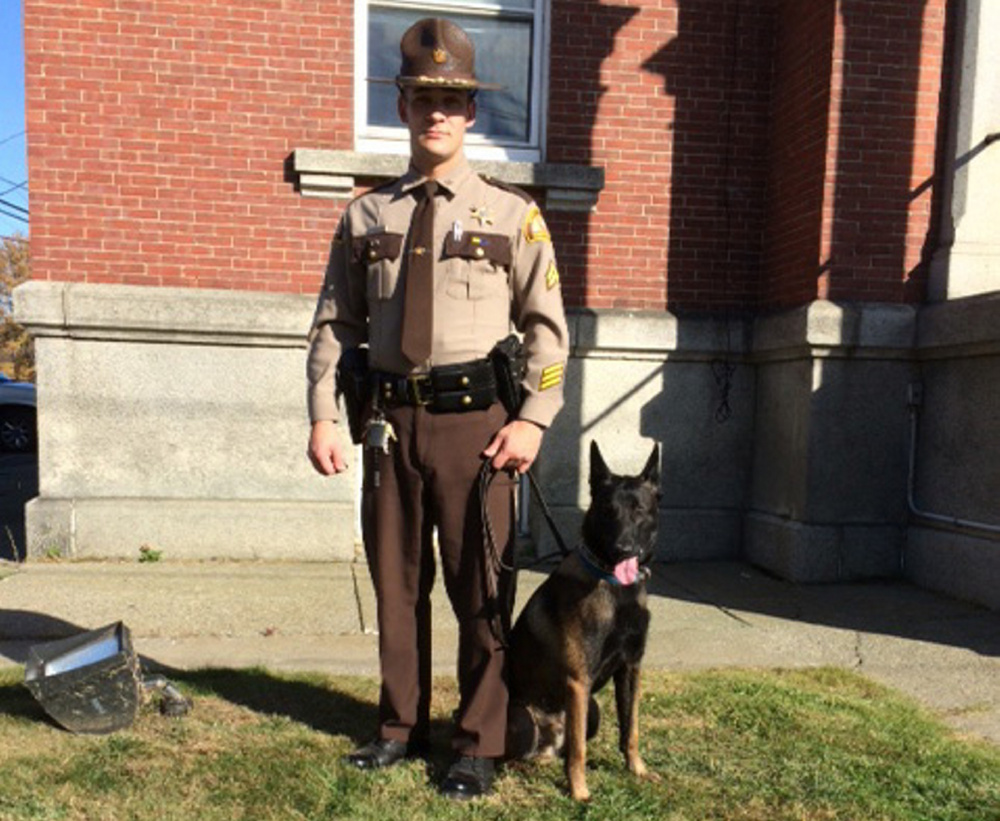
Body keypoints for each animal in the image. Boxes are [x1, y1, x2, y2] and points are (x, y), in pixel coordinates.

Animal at [508, 442, 664, 800]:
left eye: (638, 509)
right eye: (607, 510)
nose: (623, 549)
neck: (618, 589)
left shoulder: (630, 669)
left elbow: (630, 729)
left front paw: (637, 770)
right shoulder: (578, 681)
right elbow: (579, 749)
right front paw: (580, 793)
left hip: (593, 708)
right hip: (523, 716)